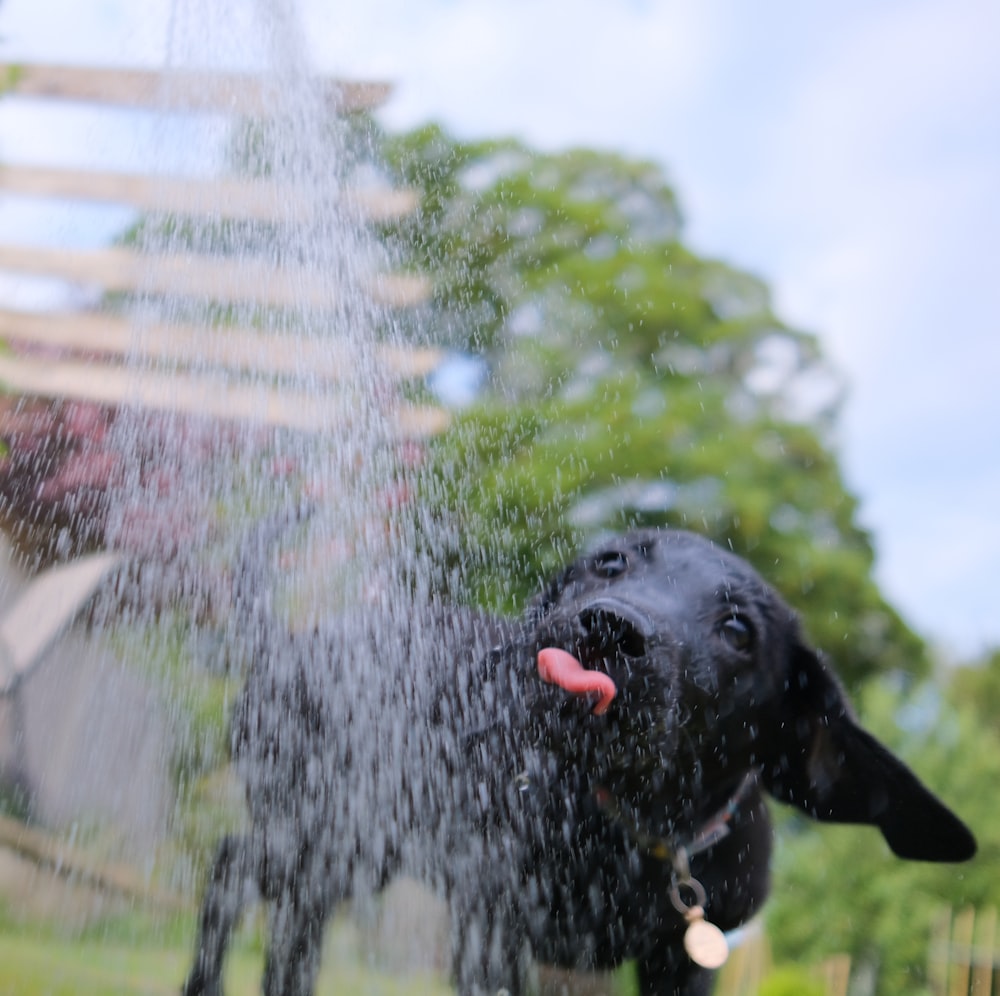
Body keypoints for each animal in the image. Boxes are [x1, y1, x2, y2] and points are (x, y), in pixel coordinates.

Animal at [184, 524, 972, 992]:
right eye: (610, 562)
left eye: (737, 629)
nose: (610, 627)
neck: (633, 832)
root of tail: (289, 640)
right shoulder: (492, 930)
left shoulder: (681, 960)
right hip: (321, 829)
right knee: (233, 873)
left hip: (357, 850)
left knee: (278, 905)